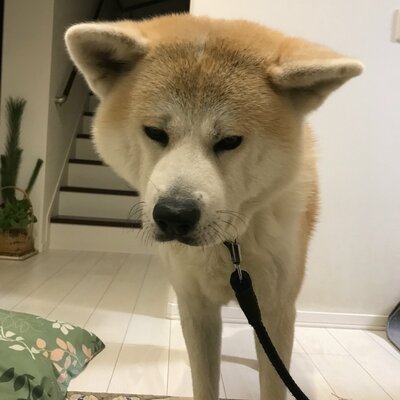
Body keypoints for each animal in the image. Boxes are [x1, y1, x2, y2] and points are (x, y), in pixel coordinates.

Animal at [65, 14, 362, 400]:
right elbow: (204, 381)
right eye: (155, 132)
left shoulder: (277, 309)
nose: (174, 215)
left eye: (230, 141)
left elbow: (273, 380)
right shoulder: (196, 308)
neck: (229, 246)